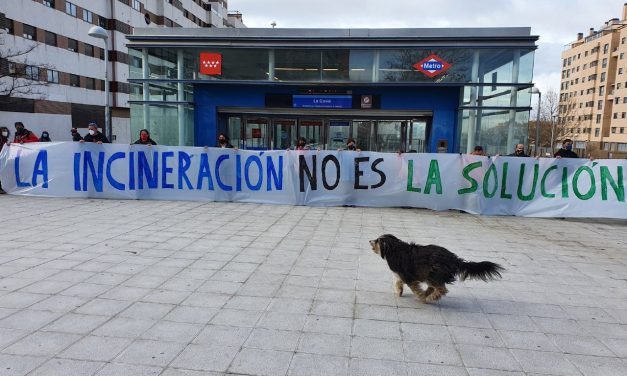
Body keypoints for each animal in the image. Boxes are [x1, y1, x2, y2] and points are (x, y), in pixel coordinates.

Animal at [368, 235, 506, 302]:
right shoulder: (402, 273)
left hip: (434, 272)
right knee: (435, 286)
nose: (369, 241)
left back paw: (429, 297)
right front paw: (399, 291)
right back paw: (428, 294)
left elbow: (413, 287)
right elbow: (398, 281)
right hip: (431, 274)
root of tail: (455, 259)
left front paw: (419, 295)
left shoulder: (408, 275)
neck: (395, 249)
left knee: (442, 289)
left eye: (377, 241)